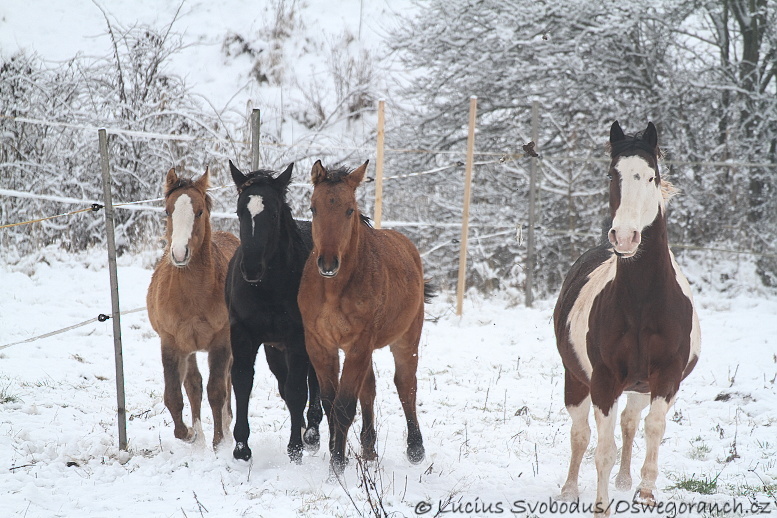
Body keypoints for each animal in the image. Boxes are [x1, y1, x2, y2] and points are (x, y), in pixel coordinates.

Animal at [147, 169, 238, 448]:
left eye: (199, 211)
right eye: (167, 210)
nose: (179, 253)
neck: (191, 296)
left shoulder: (221, 341)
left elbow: (217, 391)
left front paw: (220, 442)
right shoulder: (172, 343)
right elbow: (175, 395)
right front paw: (189, 433)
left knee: (228, 382)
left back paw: (228, 429)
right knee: (194, 386)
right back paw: (198, 436)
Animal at [224, 161, 322, 464]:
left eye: (275, 212)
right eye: (239, 211)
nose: (251, 268)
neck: (268, 287)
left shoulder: (298, 338)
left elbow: (297, 390)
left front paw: (295, 448)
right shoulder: (244, 334)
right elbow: (242, 381)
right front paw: (241, 447)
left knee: (314, 381)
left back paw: (312, 432)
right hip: (274, 349)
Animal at [298, 160, 434, 478]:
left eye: (349, 210)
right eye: (313, 208)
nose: (328, 263)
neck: (333, 291)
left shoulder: (358, 344)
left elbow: (345, 405)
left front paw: (337, 462)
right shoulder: (321, 345)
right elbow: (331, 402)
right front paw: (340, 453)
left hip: (406, 339)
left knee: (406, 385)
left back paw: (415, 449)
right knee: (369, 390)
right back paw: (369, 449)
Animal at [556, 122, 700, 516]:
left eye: (652, 177)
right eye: (611, 174)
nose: (624, 237)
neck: (641, 304)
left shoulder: (665, 377)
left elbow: (653, 429)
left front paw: (645, 493)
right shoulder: (604, 381)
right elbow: (601, 449)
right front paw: (601, 506)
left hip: (639, 386)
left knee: (630, 424)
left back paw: (623, 481)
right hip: (576, 380)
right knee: (580, 434)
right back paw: (569, 491)